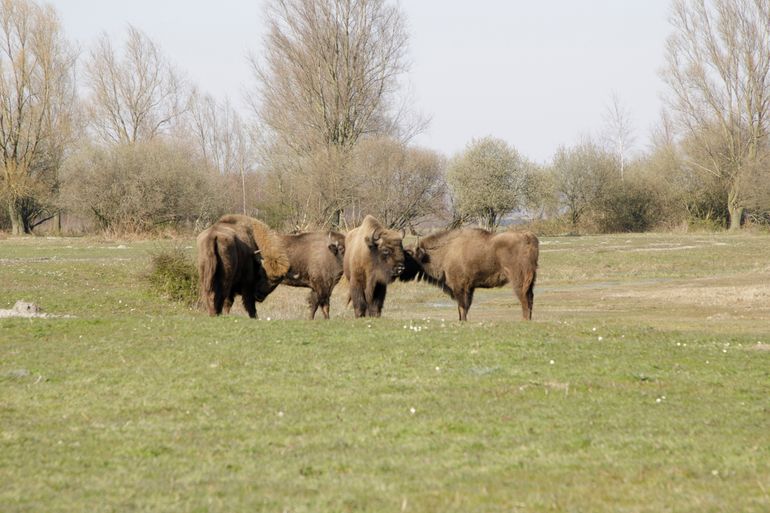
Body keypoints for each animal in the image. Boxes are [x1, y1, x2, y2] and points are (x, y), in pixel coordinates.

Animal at [400, 228, 536, 320]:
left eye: (408, 255)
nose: (399, 268)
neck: (447, 251)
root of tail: (527, 236)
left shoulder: (459, 287)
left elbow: (462, 306)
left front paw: (463, 321)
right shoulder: (469, 288)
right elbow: (465, 307)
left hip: (519, 280)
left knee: (524, 300)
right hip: (530, 281)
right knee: (530, 299)